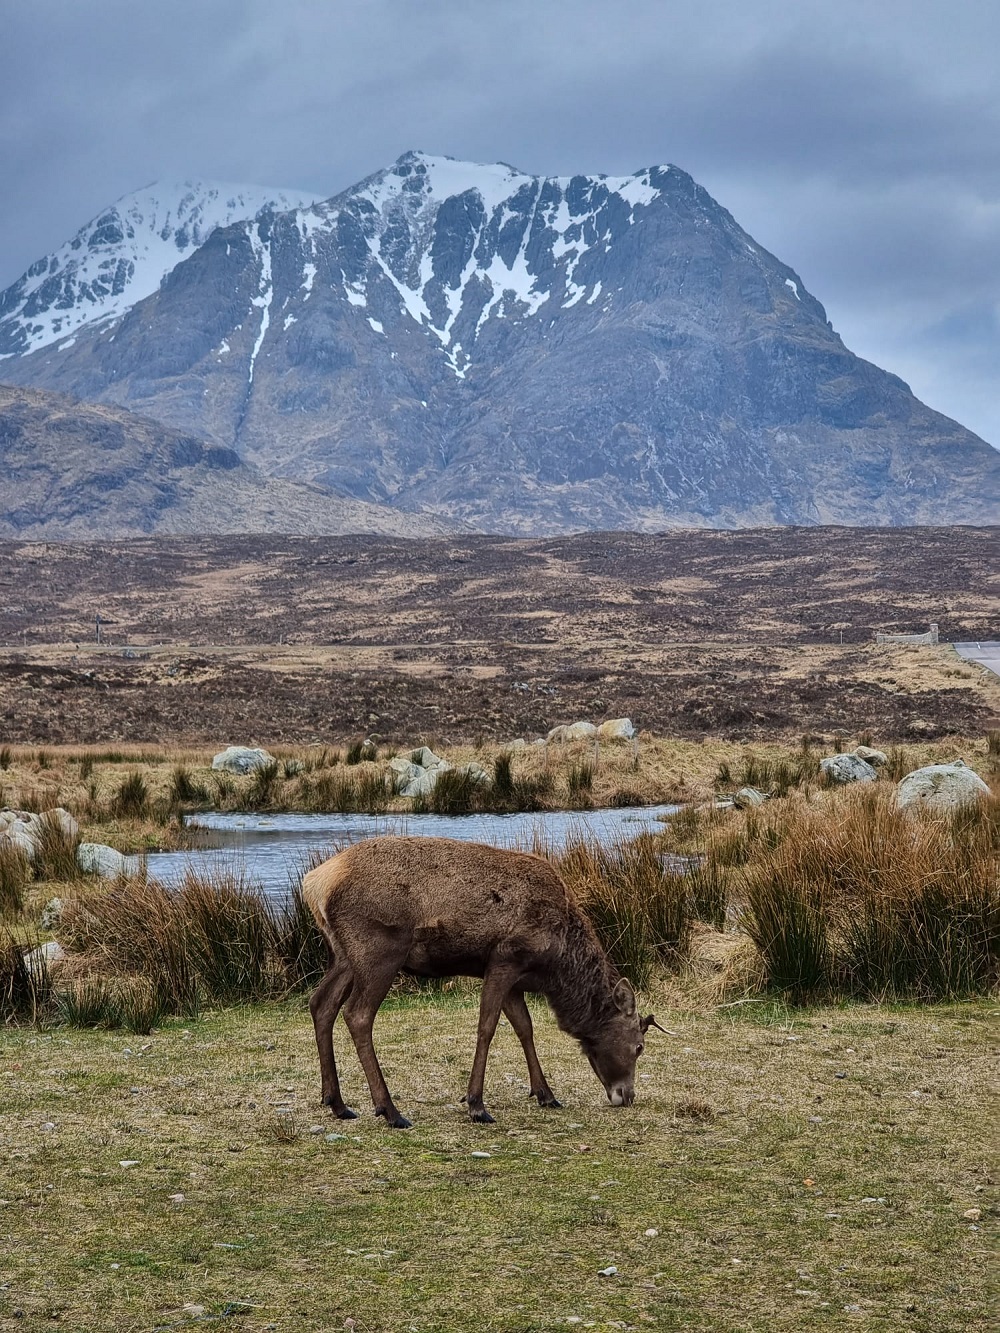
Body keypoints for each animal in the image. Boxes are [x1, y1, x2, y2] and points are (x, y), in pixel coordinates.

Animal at [305, 837, 666, 1130]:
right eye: (639, 1046)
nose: (627, 1095)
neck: (556, 964)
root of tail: (314, 883)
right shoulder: (505, 958)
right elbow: (487, 1027)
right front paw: (476, 1105)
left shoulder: (515, 980)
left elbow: (524, 1027)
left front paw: (546, 1094)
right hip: (379, 949)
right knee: (357, 1014)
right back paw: (390, 1110)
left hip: (343, 956)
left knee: (321, 1003)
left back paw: (337, 1103)